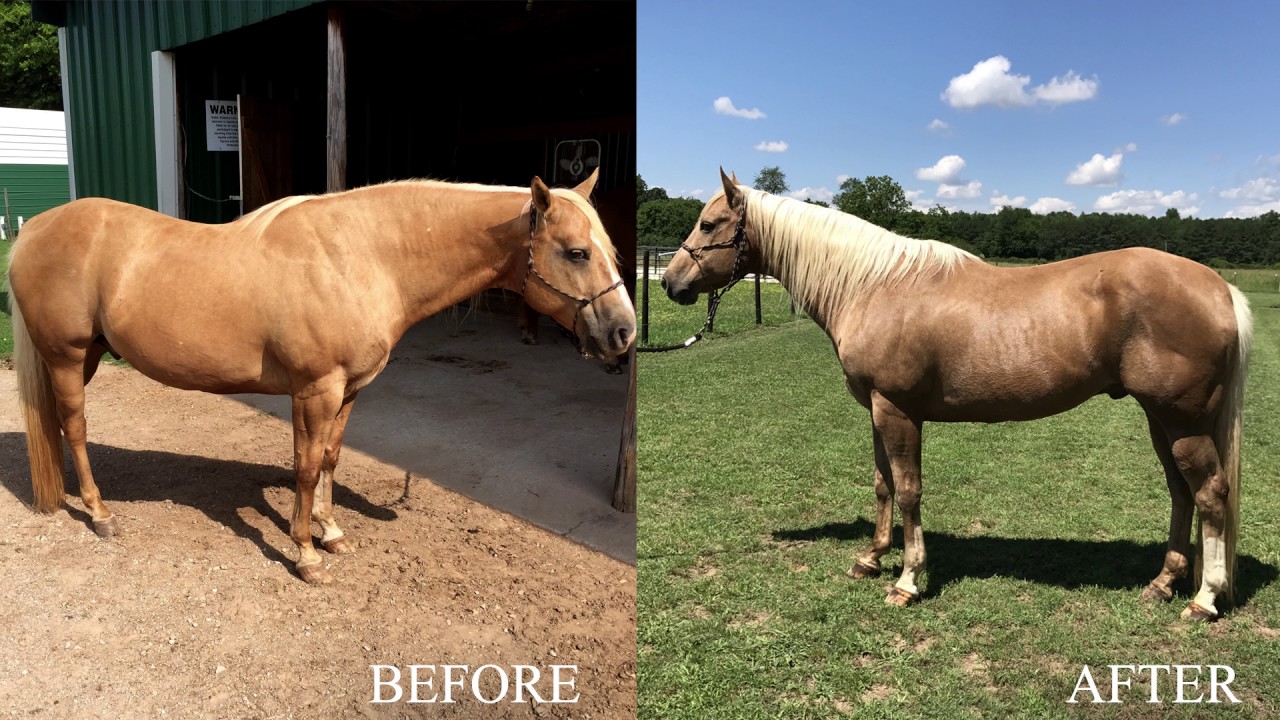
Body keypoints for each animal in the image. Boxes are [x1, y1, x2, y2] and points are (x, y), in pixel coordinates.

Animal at [8, 169, 635, 584]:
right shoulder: (316, 389)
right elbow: (306, 467)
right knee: (74, 428)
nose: (623, 334)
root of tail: (33, 229)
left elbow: (330, 457)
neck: (361, 257)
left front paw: (331, 533)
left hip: (87, 355)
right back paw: (100, 513)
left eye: (608, 249)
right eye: (576, 252)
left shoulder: (348, 390)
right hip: (67, 356)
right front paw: (305, 553)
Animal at [661, 169, 1251, 621]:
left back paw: (1203, 599)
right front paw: (870, 559)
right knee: (1181, 493)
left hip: (1183, 422)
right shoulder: (877, 411)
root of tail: (1219, 288)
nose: (670, 282)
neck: (872, 286)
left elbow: (908, 490)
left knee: (1209, 494)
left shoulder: (897, 411)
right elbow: (882, 484)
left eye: (709, 223)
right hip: (1162, 420)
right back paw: (1163, 583)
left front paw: (906, 580)